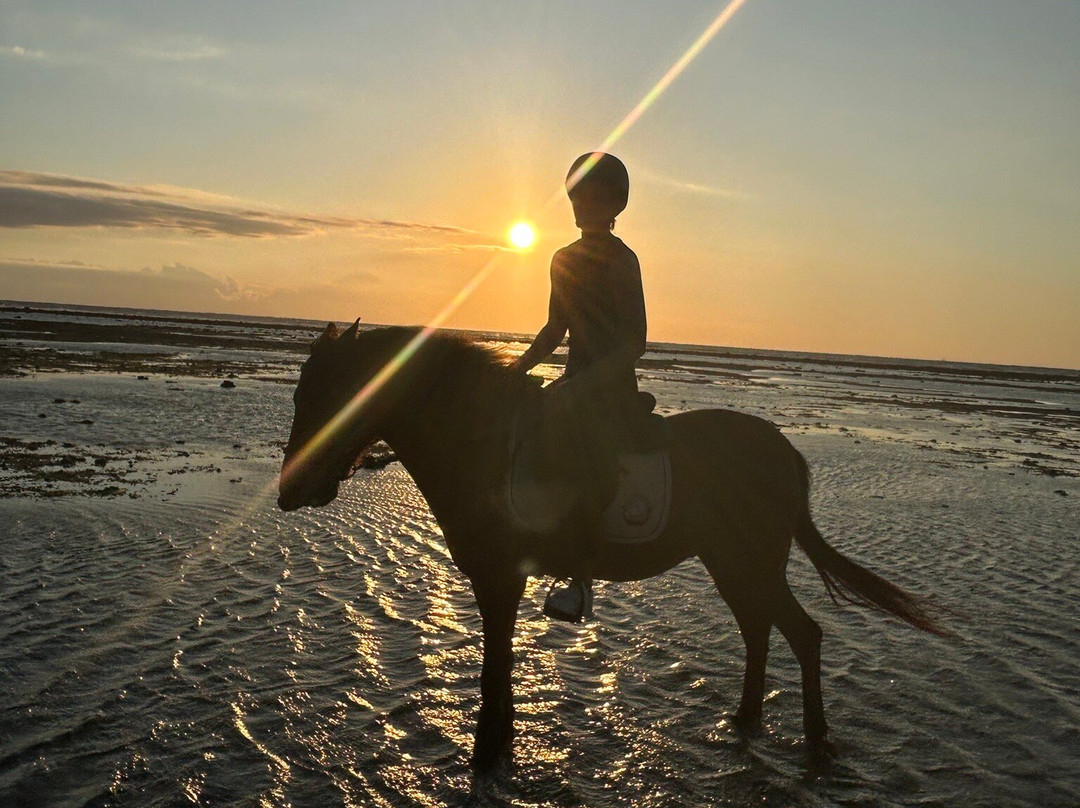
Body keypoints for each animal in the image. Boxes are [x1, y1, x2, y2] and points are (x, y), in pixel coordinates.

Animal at [277, 322, 944, 772]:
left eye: (333, 394)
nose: (289, 491)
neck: (481, 441)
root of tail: (784, 452)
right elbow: (499, 664)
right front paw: (500, 740)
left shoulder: (499, 577)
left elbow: (495, 667)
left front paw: (488, 749)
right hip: (729, 562)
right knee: (760, 630)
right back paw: (745, 720)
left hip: (750, 562)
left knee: (802, 634)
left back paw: (815, 737)